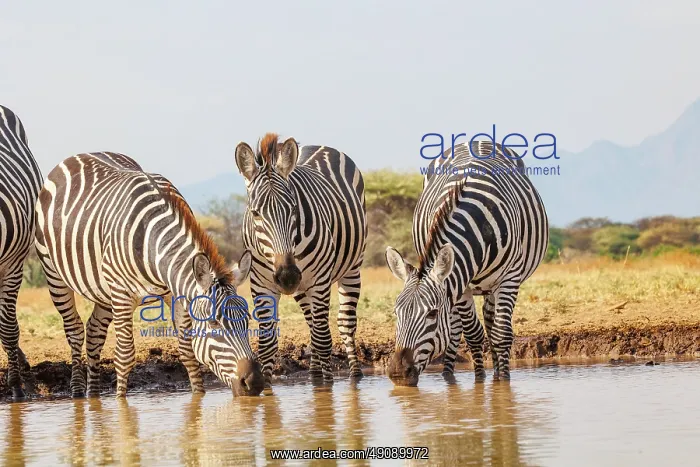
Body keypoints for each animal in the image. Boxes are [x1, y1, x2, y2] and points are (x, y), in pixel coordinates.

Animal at [34, 152, 265, 397]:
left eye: (247, 319)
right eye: (213, 323)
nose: (254, 383)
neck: (153, 243)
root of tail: (79, 155)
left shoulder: (176, 294)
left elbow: (188, 351)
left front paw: (198, 399)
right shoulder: (122, 295)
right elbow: (124, 357)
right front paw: (120, 402)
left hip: (103, 291)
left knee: (94, 332)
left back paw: (93, 395)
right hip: (55, 274)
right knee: (74, 329)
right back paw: (78, 394)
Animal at [235, 133, 367, 383]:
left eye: (293, 209)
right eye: (255, 213)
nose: (287, 276)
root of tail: (320, 146)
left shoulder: (320, 281)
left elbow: (324, 340)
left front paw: (325, 387)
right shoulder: (261, 284)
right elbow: (267, 345)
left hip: (351, 269)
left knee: (343, 323)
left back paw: (354, 373)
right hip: (302, 287)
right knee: (312, 323)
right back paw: (314, 372)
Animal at [385, 141, 548, 385]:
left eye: (432, 314)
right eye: (396, 313)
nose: (398, 373)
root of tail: (475, 141)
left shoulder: (509, 277)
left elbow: (501, 334)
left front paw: (502, 383)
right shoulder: (460, 284)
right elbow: (472, 334)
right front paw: (479, 380)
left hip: (492, 284)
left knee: (491, 323)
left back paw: (496, 371)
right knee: (456, 330)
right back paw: (448, 373)